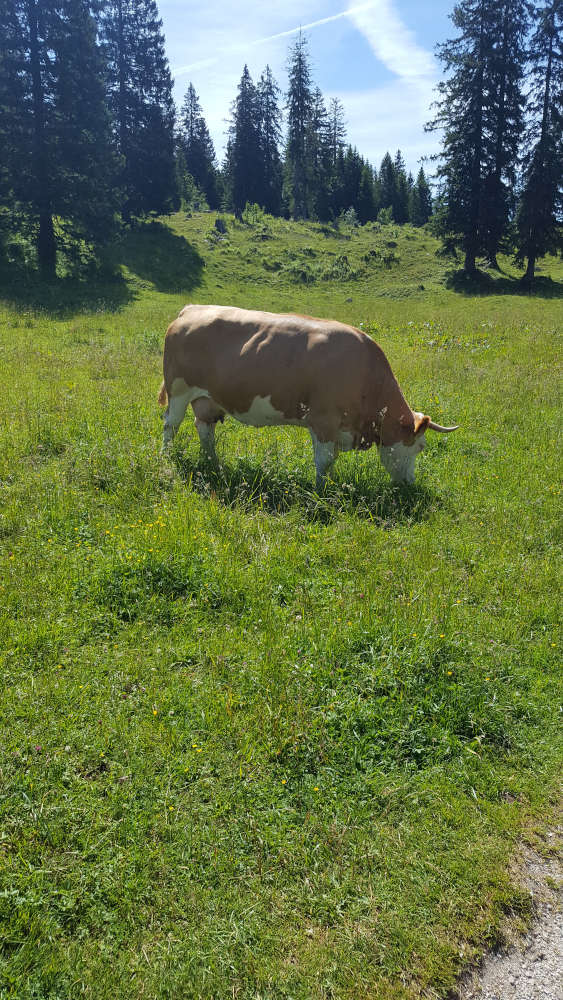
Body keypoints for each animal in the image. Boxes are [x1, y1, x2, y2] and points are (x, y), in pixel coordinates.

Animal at [158, 304, 458, 487]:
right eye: (421, 447)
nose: (410, 485)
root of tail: (191, 309)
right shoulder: (324, 421)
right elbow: (323, 461)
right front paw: (320, 490)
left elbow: (331, 461)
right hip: (178, 390)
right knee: (171, 425)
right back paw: (166, 457)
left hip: (207, 399)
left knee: (204, 427)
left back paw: (214, 463)